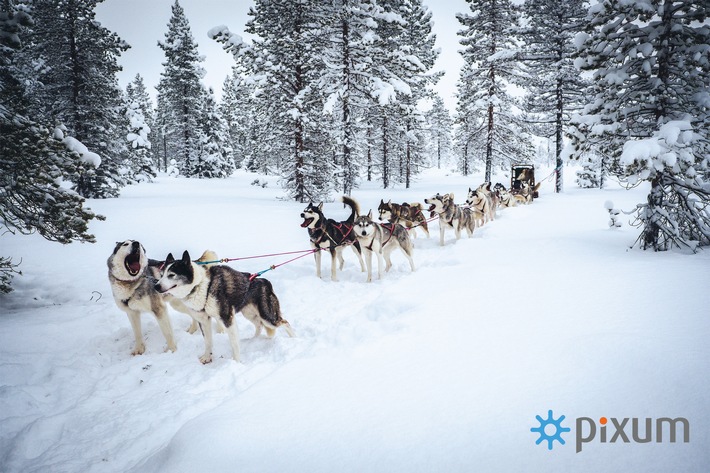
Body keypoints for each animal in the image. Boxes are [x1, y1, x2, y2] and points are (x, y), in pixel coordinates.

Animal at [154, 251, 294, 366]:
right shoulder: (203, 320)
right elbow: (208, 341)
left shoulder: (227, 319)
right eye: (161, 275)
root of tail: (264, 281)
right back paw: (253, 340)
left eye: (171, 275)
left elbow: (234, 344)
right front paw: (207, 357)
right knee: (259, 326)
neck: (202, 286)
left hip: (268, 317)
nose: (156, 286)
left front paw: (236, 363)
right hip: (249, 314)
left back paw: (294, 339)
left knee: (285, 322)